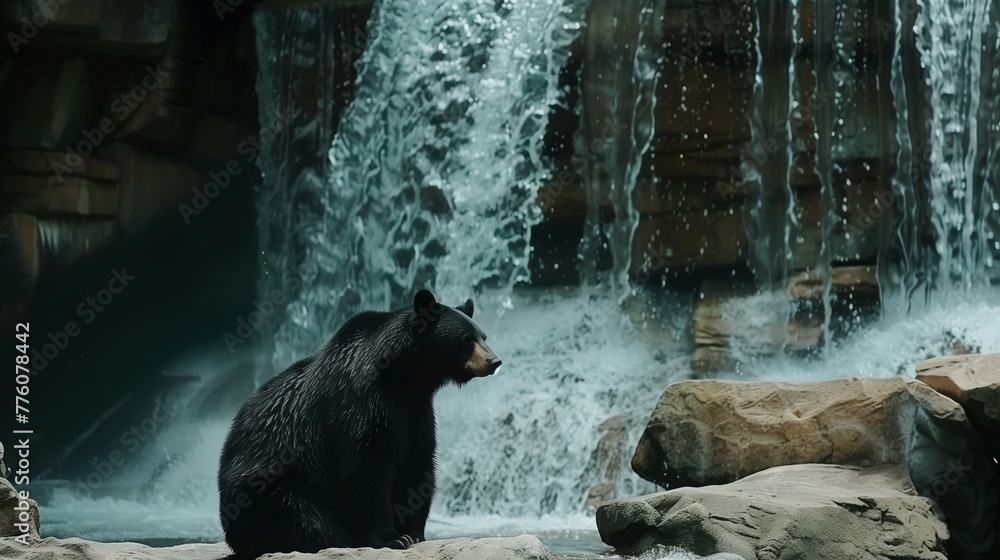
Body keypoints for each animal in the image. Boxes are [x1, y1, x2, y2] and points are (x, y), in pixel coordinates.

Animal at [217, 290, 501, 559]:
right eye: (466, 338)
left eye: (483, 336)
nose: (494, 361)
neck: (404, 379)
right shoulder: (363, 404)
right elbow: (368, 468)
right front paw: (391, 538)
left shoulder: (417, 412)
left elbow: (416, 461)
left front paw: (413, 532)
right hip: (265, 488)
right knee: (304, 518)